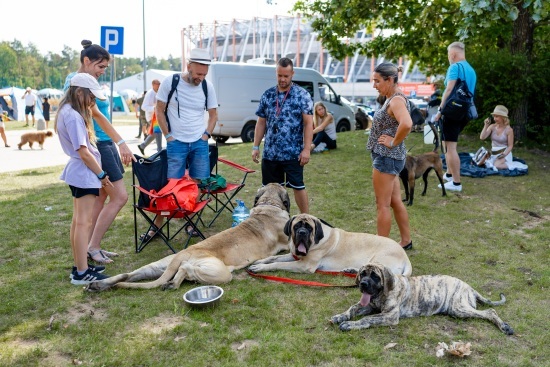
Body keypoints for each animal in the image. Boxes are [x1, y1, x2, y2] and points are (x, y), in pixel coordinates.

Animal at [85, 185, 294, 292]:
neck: (269, 204)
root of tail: (184, 252)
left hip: (157, 267)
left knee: (129, 275)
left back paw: (98, 285)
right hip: (218, 271)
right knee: (187, 269)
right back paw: (174, 283)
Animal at [250, 214, 414, 278]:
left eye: (309, 228)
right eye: (296, 226)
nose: (302, 232)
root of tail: (406, 257)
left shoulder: (304, 265)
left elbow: (278, 264)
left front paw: (260, 267)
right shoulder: (293, 255)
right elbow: (274, 258)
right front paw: (260, 261)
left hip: (378, 259)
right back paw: (350, 270)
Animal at [330, 264, 516, 334]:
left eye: (375, 276)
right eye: (362, 274)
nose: (362, 284)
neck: (382, 293)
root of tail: (469, 287)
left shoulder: (389, 316)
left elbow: (366, 319)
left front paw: (350, 324)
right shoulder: (370, 306)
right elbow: (353, 308)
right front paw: (340, 316)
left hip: (459, 308)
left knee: (490, 311)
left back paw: (504, 327)